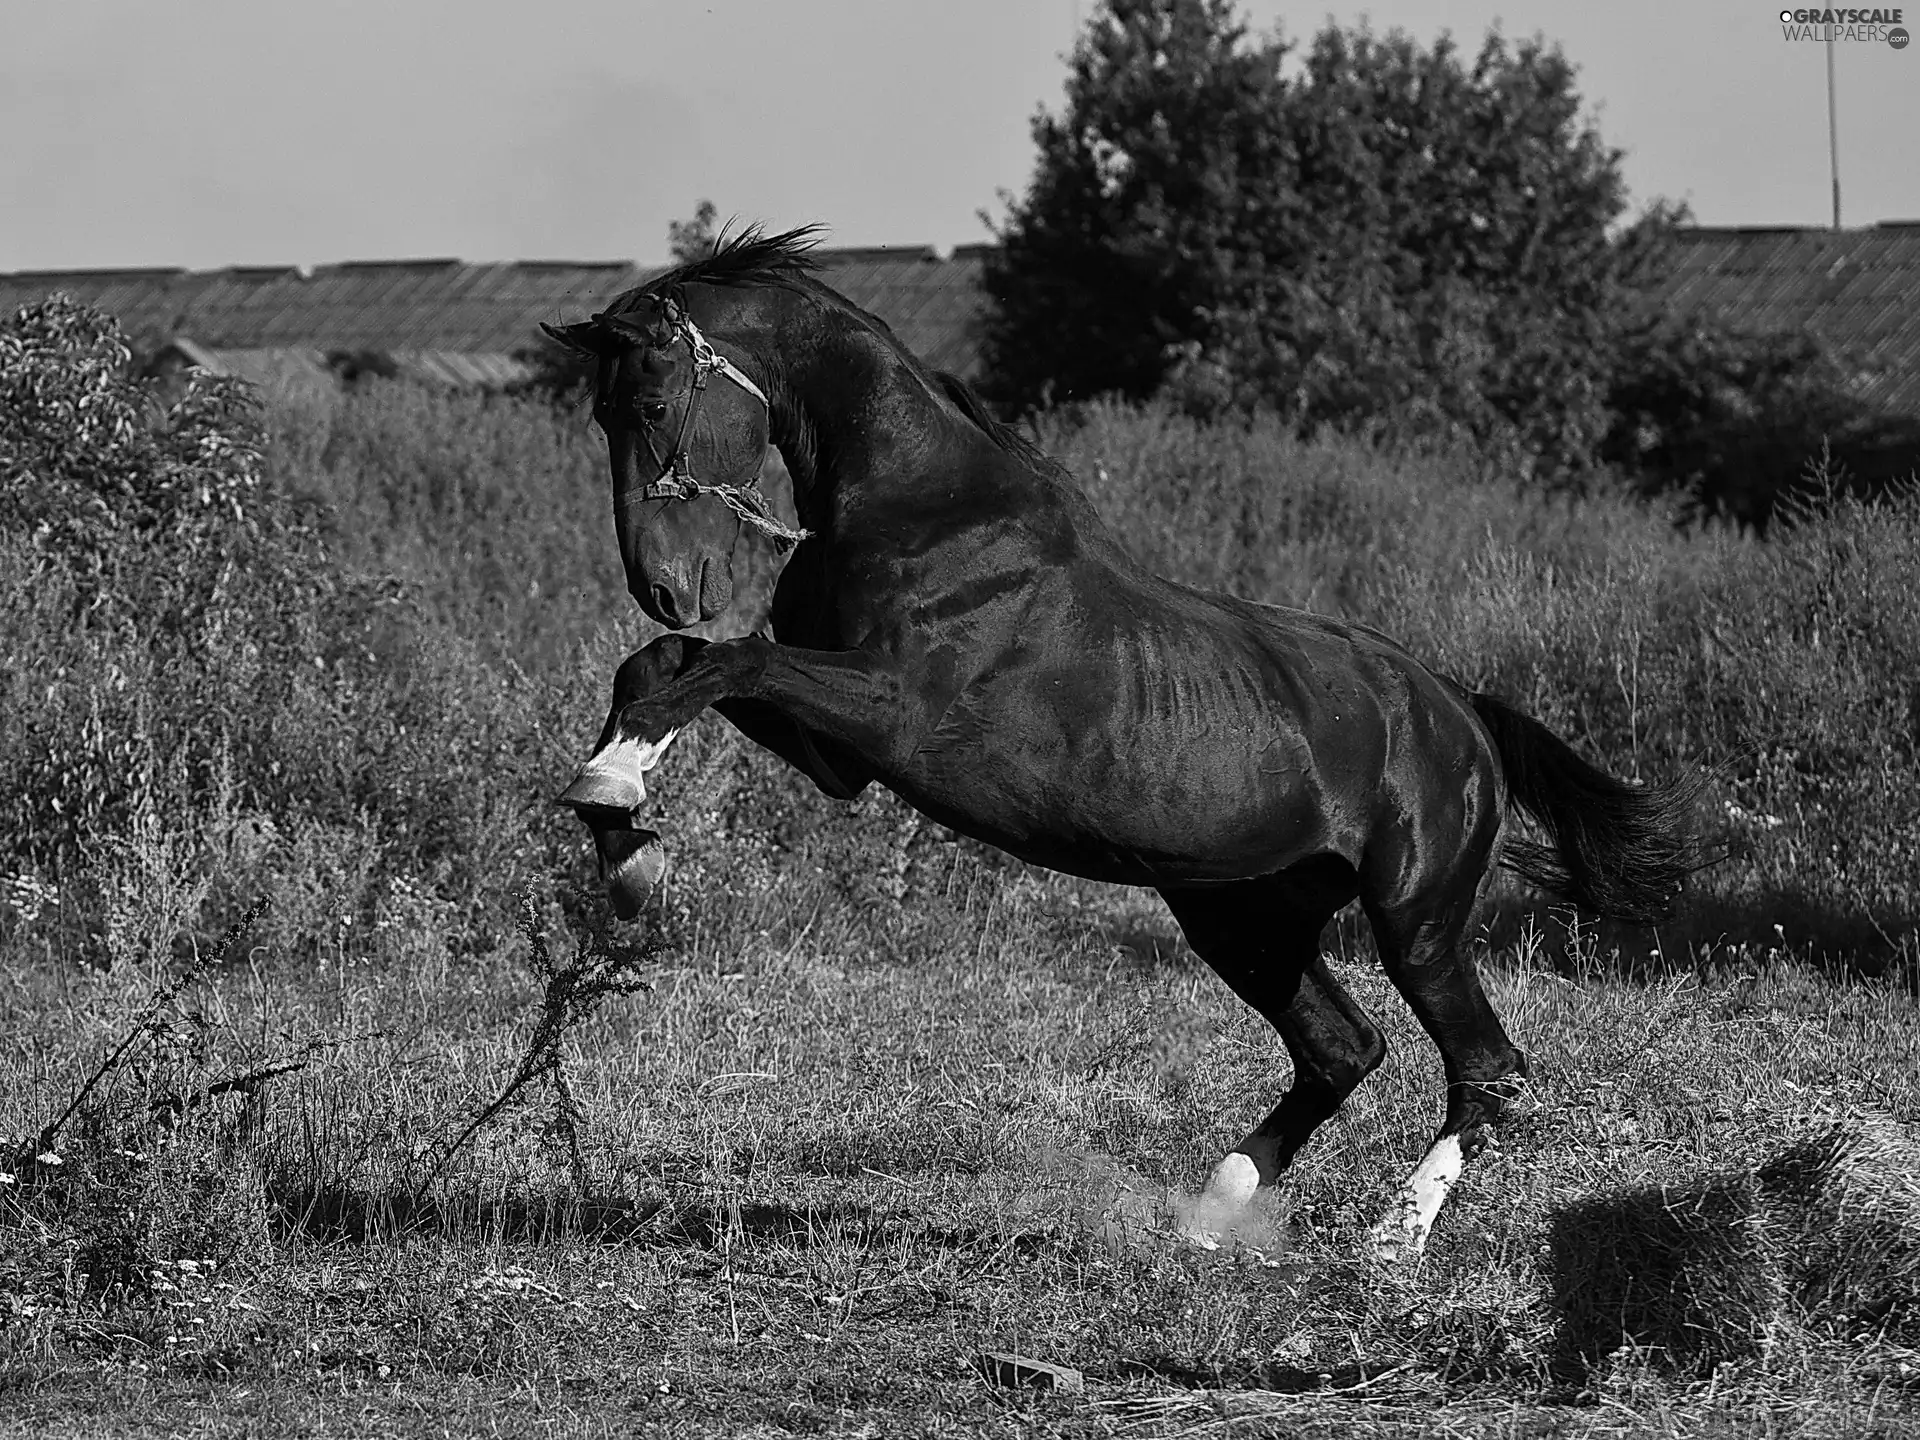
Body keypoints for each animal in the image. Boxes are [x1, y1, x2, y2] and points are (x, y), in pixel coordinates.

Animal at [549, 228, 1704, 1259]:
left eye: (649, 402)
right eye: (601, 412)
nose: (663, 583)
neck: (922, 509)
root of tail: (1462, 713)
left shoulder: (894, 713)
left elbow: (726, 663)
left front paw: (615, 799)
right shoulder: (845, 758)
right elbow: (662, 668)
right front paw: (620, 833)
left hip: (1414, 920)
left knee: (1485, 1067)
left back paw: (1392, 1238)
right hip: (1242, 918)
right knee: (1344, 1049)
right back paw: (1210, 1213)